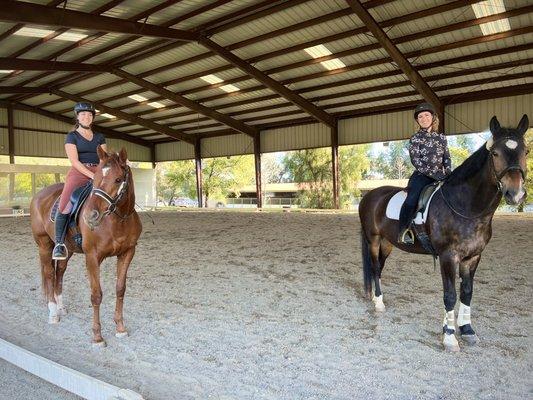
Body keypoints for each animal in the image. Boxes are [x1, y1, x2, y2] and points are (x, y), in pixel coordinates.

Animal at [30, 147, 140, 346]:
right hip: (44, 244)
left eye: (118, 179)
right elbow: (96, 295)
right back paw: (53, 313)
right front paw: (97, 336)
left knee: (59, 272)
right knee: (49, 274)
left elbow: (120, 289)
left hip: (67, 250)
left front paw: (120, 328)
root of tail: (39, 196)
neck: (117, 220)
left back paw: (61, 307)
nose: (91, 216)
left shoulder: (127, 253)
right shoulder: (93, 257)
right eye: (95, 179)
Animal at [358, 115, 528, 350]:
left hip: (388, 242)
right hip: (373, 240)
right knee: (375, 267)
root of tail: (369, 196)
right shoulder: (449, 256)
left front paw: (467, 330)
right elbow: (450, 295)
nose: (516, 194)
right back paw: (379, 304)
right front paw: (449, 336)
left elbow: (467, 292)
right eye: (495, 153)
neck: (465, 207)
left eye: (525, 151)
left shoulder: (473, 257)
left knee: (380, 268)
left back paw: (376, 298)